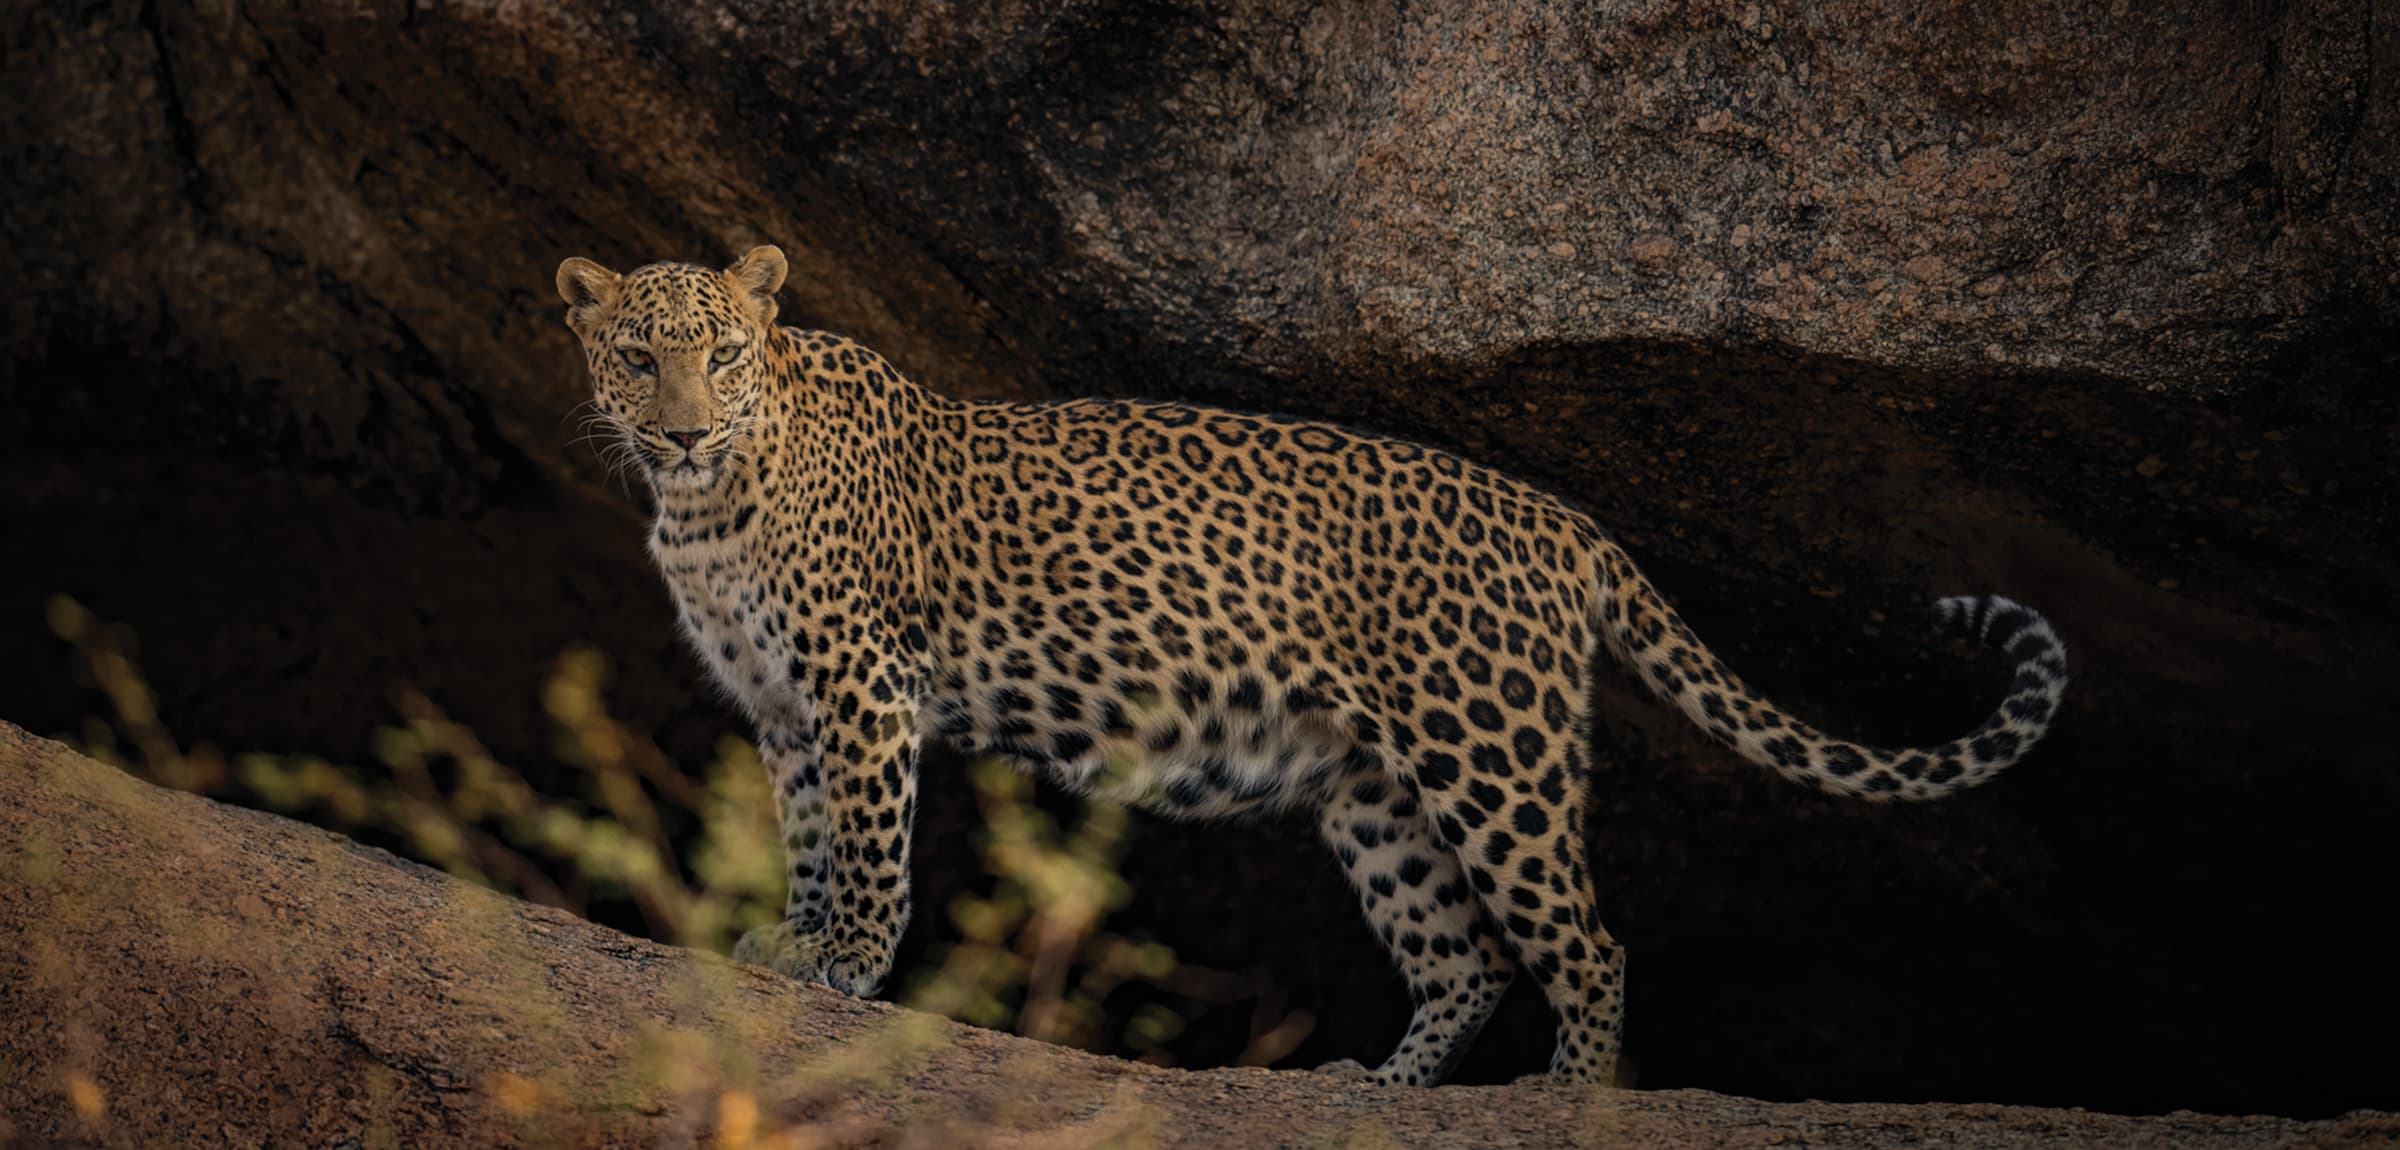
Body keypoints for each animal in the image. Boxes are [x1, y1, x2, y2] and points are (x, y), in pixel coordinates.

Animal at [554, 245, 2070, 1087]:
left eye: (725, 356)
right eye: (636, 355)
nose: (682, 429)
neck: (704, 504)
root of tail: (1569, 521)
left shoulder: (860, 687)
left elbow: (871, 847)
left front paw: (846, 967)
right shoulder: (783, 711)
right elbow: (812, 840)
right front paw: (789, 944)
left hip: (1492, 753)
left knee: (1584, 941)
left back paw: (1563, 1099)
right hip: (1374, 795)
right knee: (1463, 957)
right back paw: (1382, 1087)